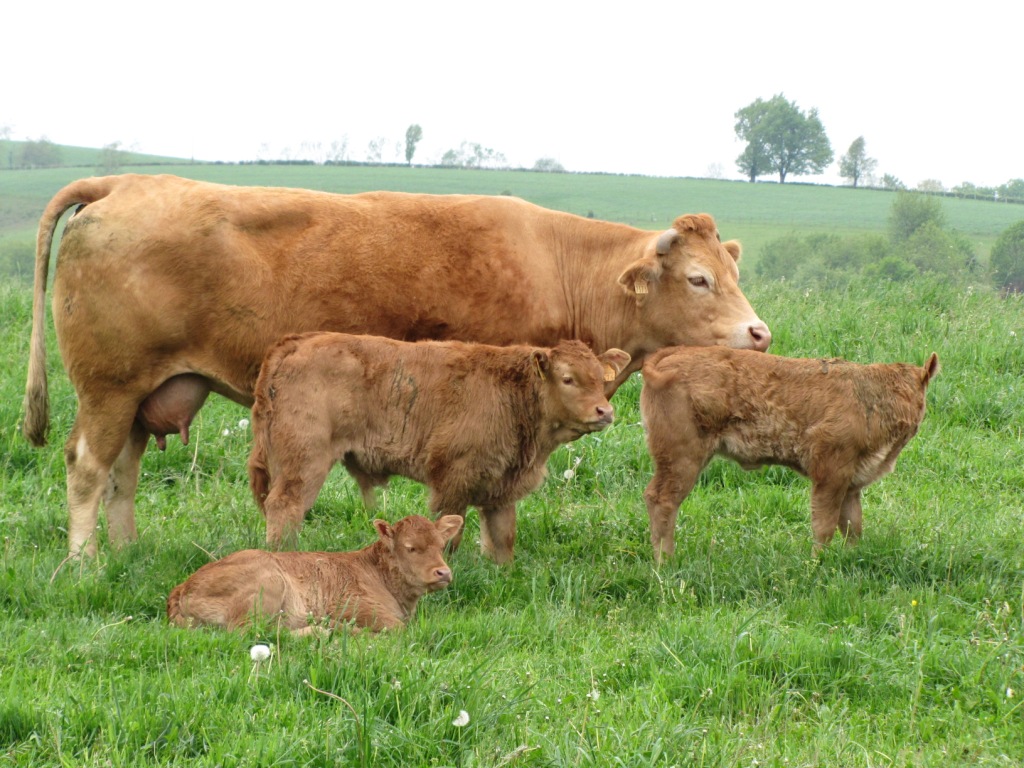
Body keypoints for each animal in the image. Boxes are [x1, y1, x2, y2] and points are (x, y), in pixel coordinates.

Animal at [165, 514, 462, 634]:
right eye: (411, 547)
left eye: (441, 545)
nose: (443, 572)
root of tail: (180, 589)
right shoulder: (350, 605)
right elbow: (400, 630)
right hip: (269, 584)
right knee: (251, 633)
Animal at [249, 333, 630, 561]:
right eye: (568, 379)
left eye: (601, 378)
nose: (605, 411)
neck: (514, 394)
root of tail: (295, 342)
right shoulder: (453, 482)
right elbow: (450, 533)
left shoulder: (500, 489)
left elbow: (502, 539)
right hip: (305, 462)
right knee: (285, 506)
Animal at [643, 346, 937, 561]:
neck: (871, 397)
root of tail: (670, 354)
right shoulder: (830, 473)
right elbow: (825, 525)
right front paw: (816, 562)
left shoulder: (852, 481)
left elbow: (852, 525)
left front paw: (852, 557)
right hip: (682, 458)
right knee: (662, 499)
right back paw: (665, 562)